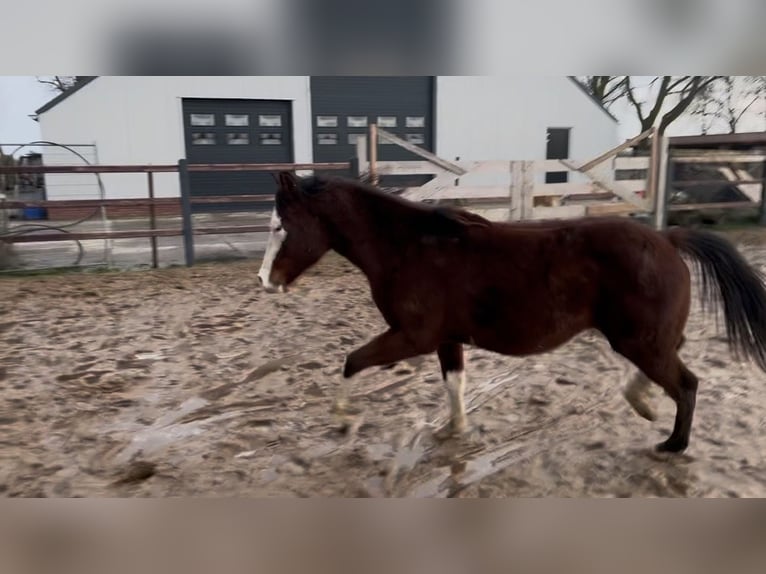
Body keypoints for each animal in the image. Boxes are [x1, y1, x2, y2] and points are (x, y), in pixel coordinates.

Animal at [257, 171, 766, 453]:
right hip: (643, 338)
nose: (265, 281)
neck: (409, 248)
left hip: (638, 340)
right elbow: (454, 384)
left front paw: (344, 418)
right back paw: (641, 403)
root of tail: (668, 238)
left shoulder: (411, 336)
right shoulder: (446, 339)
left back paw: (672, 444)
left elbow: (351, 362)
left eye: (281, 225)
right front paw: (455, 430)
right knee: (675, 361)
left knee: (687, 383)